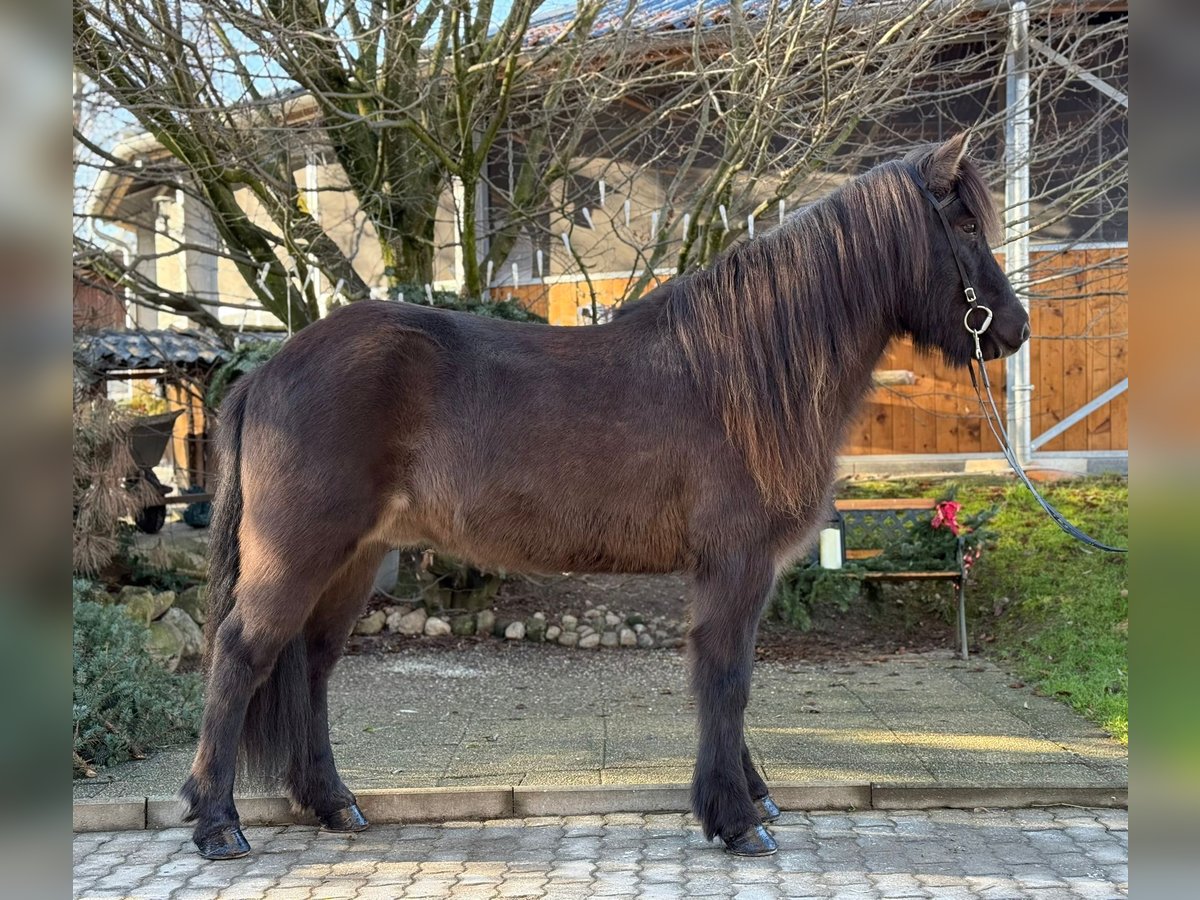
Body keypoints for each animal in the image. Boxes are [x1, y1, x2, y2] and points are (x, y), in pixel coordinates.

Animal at [180, 133, 1032, 859]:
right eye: (964, 223)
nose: (1015, 328)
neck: (746, 373)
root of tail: (268, 370)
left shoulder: (737, 572)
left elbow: (733, 680)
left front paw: (751, 798)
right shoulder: (736, 565)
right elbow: (727, 679)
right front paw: (736, 819)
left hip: (354, 560)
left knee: (312, 666)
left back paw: (333, 803)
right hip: (300, 552)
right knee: (241, 654)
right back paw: (217, 822)